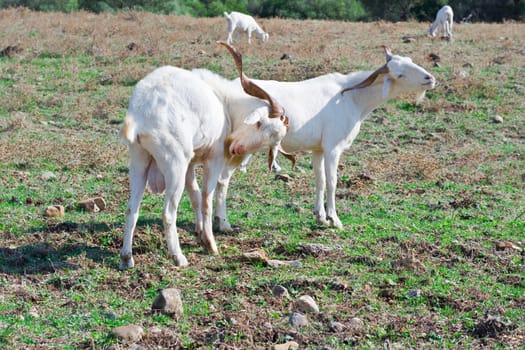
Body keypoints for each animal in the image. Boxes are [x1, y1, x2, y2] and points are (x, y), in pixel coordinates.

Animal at [118, 44, 288, 268]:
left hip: (139, 161)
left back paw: (126, 258)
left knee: (131, 209)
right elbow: (206, 197)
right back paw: (178, 257)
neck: (223, 102)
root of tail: (140, 114)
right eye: (260, 123)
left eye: (269, 141)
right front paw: (210, 243)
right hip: (174, 164)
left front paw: (200, 234)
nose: (236, 149)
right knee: (168, 212)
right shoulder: (213, 159)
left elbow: (195, 195)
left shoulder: (190, 163)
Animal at [212, 46, 434, 231]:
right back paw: (224, 224)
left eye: (410, 60)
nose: (429, 78)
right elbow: (332, 181)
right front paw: (335, 219)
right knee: (223, 180)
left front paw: (320, 217)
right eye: (400, 73)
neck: (349, 97)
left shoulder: (318, 149)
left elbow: (320, 180)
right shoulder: (332, 148)